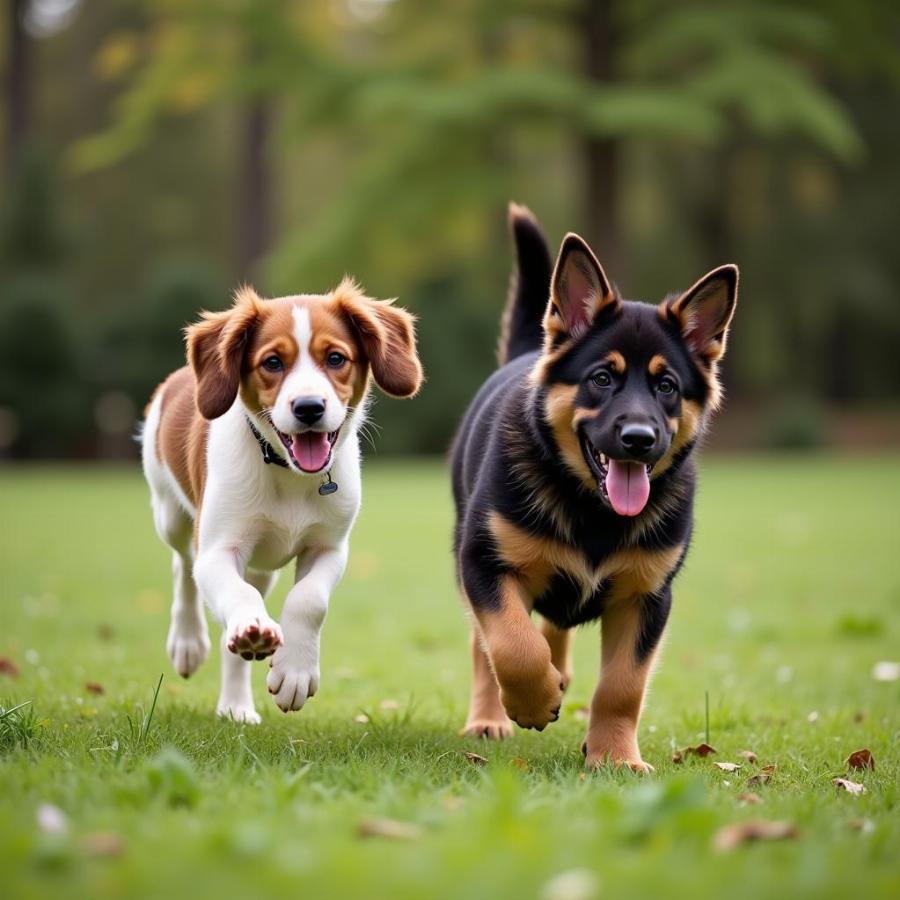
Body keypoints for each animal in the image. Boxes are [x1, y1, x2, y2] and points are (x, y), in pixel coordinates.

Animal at [142, 278, 422, 720]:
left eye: (336, 358)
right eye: (273, 363)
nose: (308, 407)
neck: (288, 473)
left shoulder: (330, 547)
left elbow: (309, 600)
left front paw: (295, 672)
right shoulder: (219, 548)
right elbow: (237, 594)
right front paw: (251, 631)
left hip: (261, 564)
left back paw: (236, 706)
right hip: (170, 514)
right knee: (183, 566)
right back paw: (189, 643)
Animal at [450, 206, 740, 772]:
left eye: (667, 386)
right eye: (603, 379)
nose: (639, 439)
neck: (592, 510)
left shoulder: (648, 597)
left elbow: (623, 686)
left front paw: (615, 757)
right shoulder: (484, 564)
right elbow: (511, 645)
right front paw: (533, 701)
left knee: (555, 627)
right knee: (485, 646)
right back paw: (491, 717)